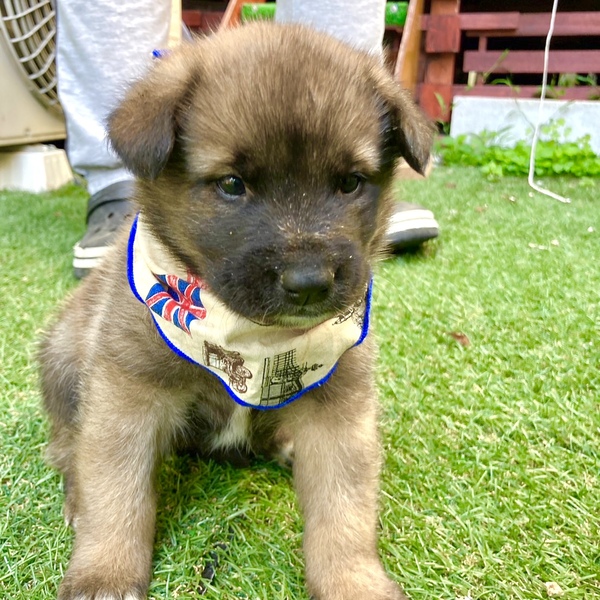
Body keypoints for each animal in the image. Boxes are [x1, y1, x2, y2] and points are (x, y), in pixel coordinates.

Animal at [39, 22, 434, 600]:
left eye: (349, 182)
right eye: (231, 184)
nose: (309, 282)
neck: (252, 339)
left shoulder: (340, 407)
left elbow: (344, 512)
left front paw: (353, 581)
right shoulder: (126, 392)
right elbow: (115, 493)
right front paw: (104, 572)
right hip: (66, 353)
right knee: (68, 443)